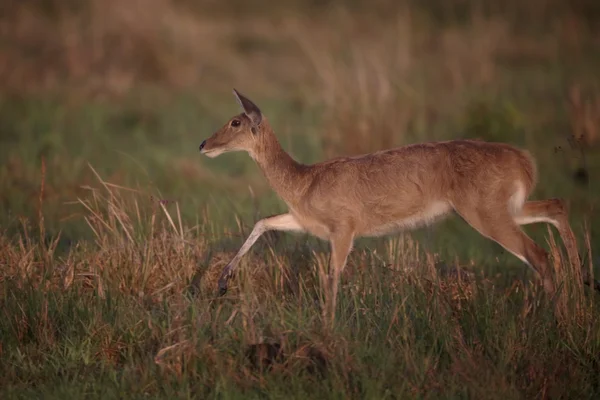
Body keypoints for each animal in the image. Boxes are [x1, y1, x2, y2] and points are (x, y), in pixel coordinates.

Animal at [200, 89, 592, 318]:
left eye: (235, 121)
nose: (203, 143)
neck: (304, 181)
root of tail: (524, 161)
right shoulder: (306, 222)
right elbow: (263, 221)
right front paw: (222, 282)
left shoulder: (344, 229)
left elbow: (332, 275)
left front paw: (329, 328)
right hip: (506, 209)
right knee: (557, 207)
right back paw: (581, 293)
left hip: (487, 215)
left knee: (539, 254)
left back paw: (559, 320)